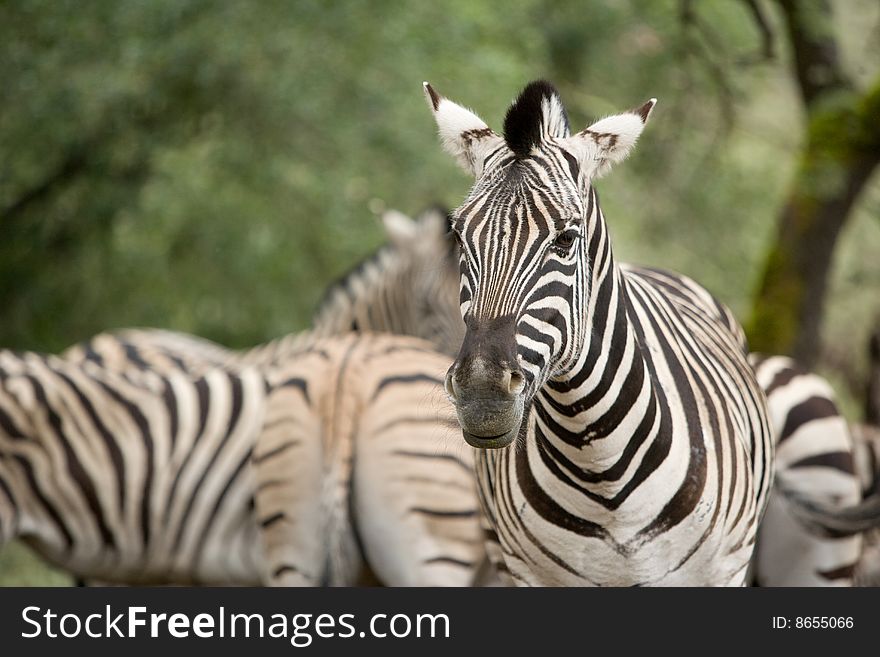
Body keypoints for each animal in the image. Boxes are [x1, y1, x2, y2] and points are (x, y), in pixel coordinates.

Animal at [426, 79, 776, 588]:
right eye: (457, 237)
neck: (600, 465)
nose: (483, 393)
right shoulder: (530, 575)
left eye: (566, 239)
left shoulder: (721, 571)